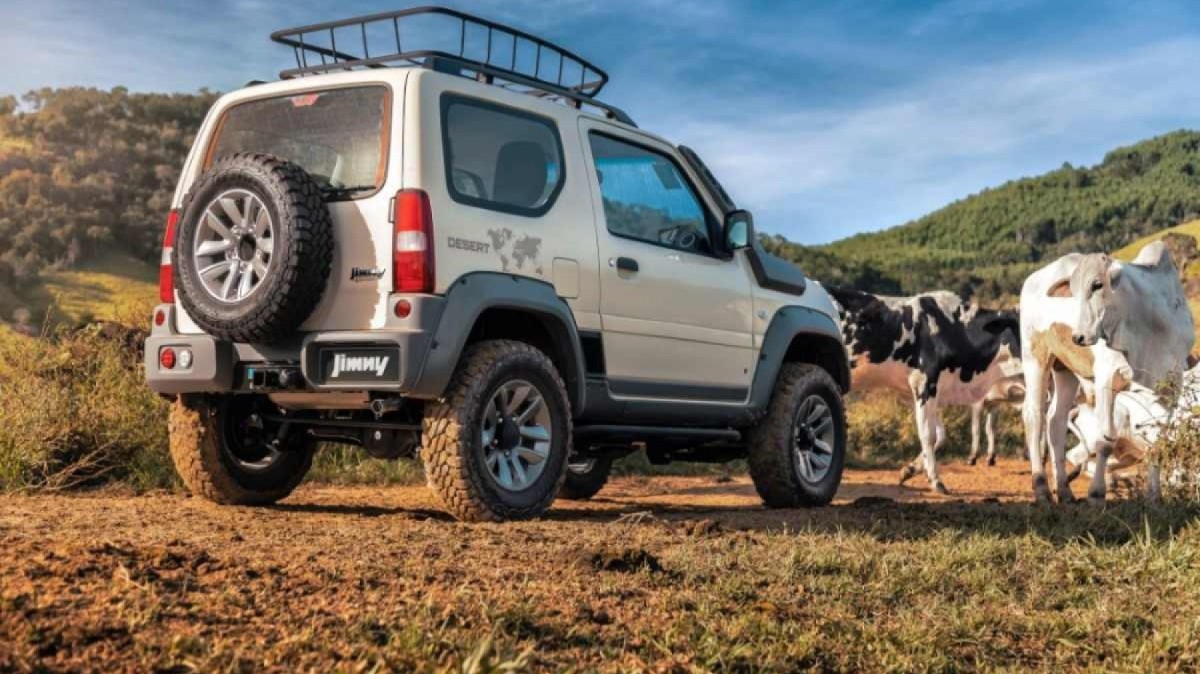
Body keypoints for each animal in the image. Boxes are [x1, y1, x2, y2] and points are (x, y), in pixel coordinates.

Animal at [830, 285, 1027, 491]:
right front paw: (935, 480)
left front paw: (909, 470)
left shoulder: (920, 392)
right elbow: (928, 435)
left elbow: (939, 435)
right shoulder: (925, 384)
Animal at [1017, 238, 1195, 501]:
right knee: (1034, 415)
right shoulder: (1106, 379)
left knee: (1056, 420)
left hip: (1064, 368)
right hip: (1035, 356)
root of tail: (1033, 278)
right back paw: (1041, 489)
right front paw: (1096, 493)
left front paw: (1154, 496)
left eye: (1097, 285)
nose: (1078, 337)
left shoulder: (1171, 383)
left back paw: (1065, 491)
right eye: (1073, 291)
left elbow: (1157, 437)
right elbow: (1105, 439)